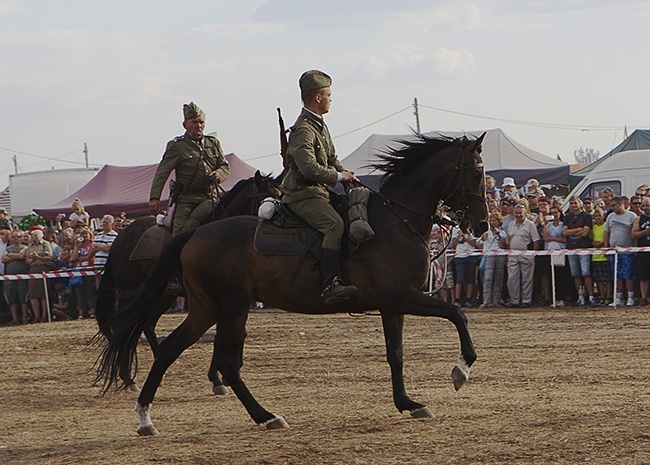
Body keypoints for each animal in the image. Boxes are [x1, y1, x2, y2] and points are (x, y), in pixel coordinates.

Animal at [95, 170, 278, 392]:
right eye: (264, 198)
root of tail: (121, 236)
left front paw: (219, 378)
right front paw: (221, 377)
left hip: (164, 295)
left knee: (147, 324)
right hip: (128, 291)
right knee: (126, 325)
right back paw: (129, 378)